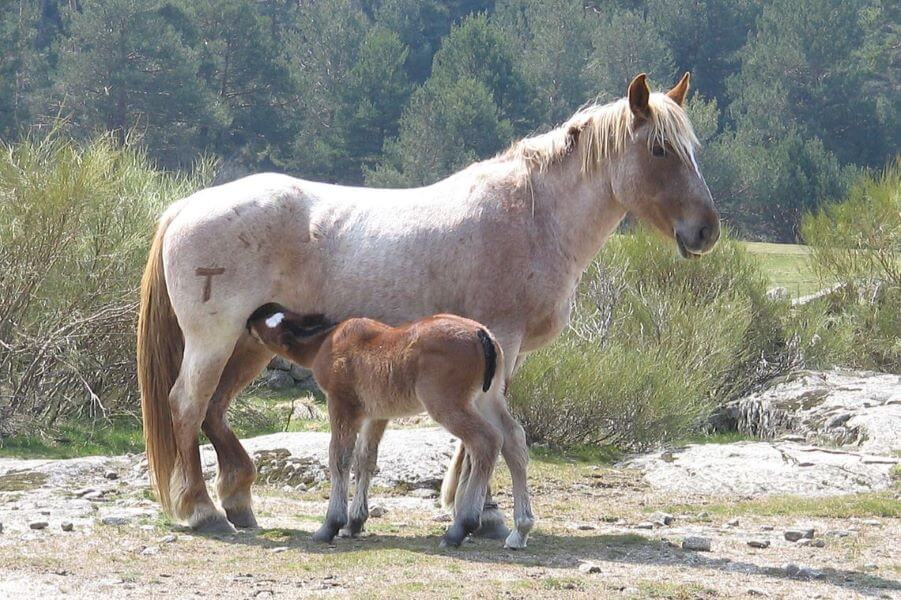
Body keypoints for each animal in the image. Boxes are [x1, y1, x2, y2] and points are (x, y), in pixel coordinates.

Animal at [244, 304, 536, 548]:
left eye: (272, 324)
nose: (253, 315)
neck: (327, 341)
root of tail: (481, 334)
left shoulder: (342, 406)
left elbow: (339, 459)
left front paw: (331, 525)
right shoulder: (376, 416)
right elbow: (365, 460)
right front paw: (355, 522)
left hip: (447, 405)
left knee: (486, 441)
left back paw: (461, 528)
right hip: (488, 400)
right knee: (513, 441)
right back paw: (520, 530)